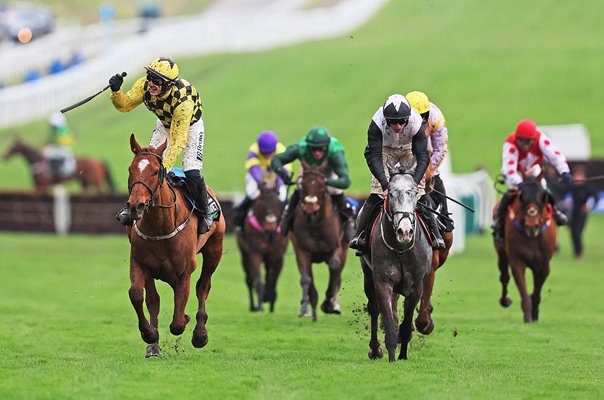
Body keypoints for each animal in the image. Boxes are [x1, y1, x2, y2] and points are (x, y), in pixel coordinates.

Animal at [125, 134, 226, 356]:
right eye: (130, 169)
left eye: (155, 171)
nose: (135, 206)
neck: (159, 227)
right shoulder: (140, 263)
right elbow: (139, 295)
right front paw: (150, 336)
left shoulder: (184, 272)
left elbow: (178, 323)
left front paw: (188, 321)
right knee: (154, 299)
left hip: (214, 249)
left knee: (203, 286)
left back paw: (200, 334)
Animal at [236, 184, 288, 312]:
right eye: (262, 205)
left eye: (278, 204)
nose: (271, 226)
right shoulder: (255, 253)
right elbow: (258, 282)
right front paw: (260, 307)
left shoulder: (278, 256)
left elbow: (273, 282)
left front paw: (271, 305)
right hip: (245, 256)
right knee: (249, 280)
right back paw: (253, 306)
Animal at [290, 160, 346, 322]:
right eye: (302, 184)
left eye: (322, 185)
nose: (310, 207)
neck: (316, 225)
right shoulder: (302, 250)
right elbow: (306, 279)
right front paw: (307, 308)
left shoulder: (336, 246)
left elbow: (335, 267)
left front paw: (329, 304)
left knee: (338, 274)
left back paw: (334, 303)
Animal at [360, 169, 432, 362]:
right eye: (391, 194)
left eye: (413, 193)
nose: (405, 231)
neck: (401, 248)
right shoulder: (383, 283)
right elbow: (388, 322)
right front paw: (392, 356)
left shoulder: (416, 286)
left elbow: (406, 325)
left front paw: (403, 355)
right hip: (368, 276)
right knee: (374, 309)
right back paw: (374, 350)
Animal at [490, 177, 556, 324]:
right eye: (521, 196)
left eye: (542, 196)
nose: (532, 225)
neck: (532, 237)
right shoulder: (517, 260)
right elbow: (522, 288)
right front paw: (527, 316)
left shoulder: (544, 264)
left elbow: (537, 291)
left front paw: (534, 312)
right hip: (501, 253)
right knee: (504, 277)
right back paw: (505, 300)